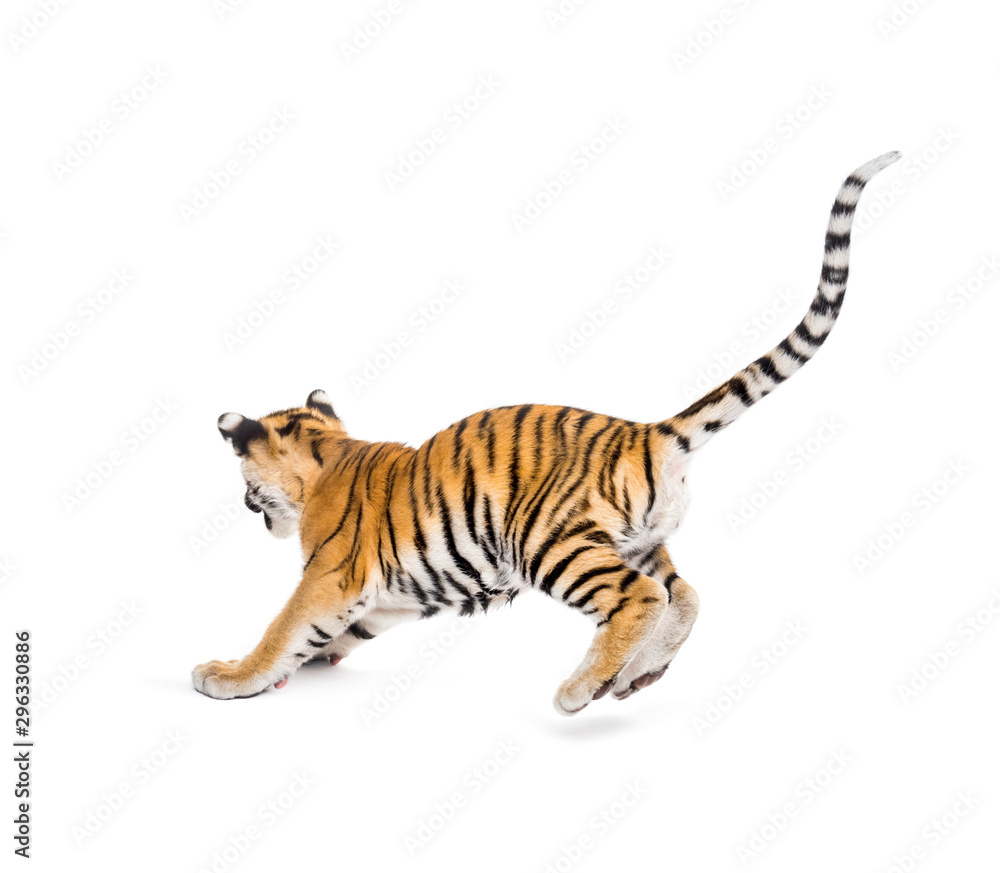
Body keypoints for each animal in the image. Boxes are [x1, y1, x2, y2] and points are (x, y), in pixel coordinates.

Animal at [193, 151, 900, 714]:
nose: (246, 504)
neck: (324, 458)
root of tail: (644, 432)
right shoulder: (389, 598)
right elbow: (330, 634)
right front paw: (298, 668)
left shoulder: (330, 575)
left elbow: (283, 627)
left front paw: (230, 676)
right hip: (638, 539)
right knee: (687, 595)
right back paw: (634, 678)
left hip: (547, 539)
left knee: (640, 598)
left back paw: (580, 689)